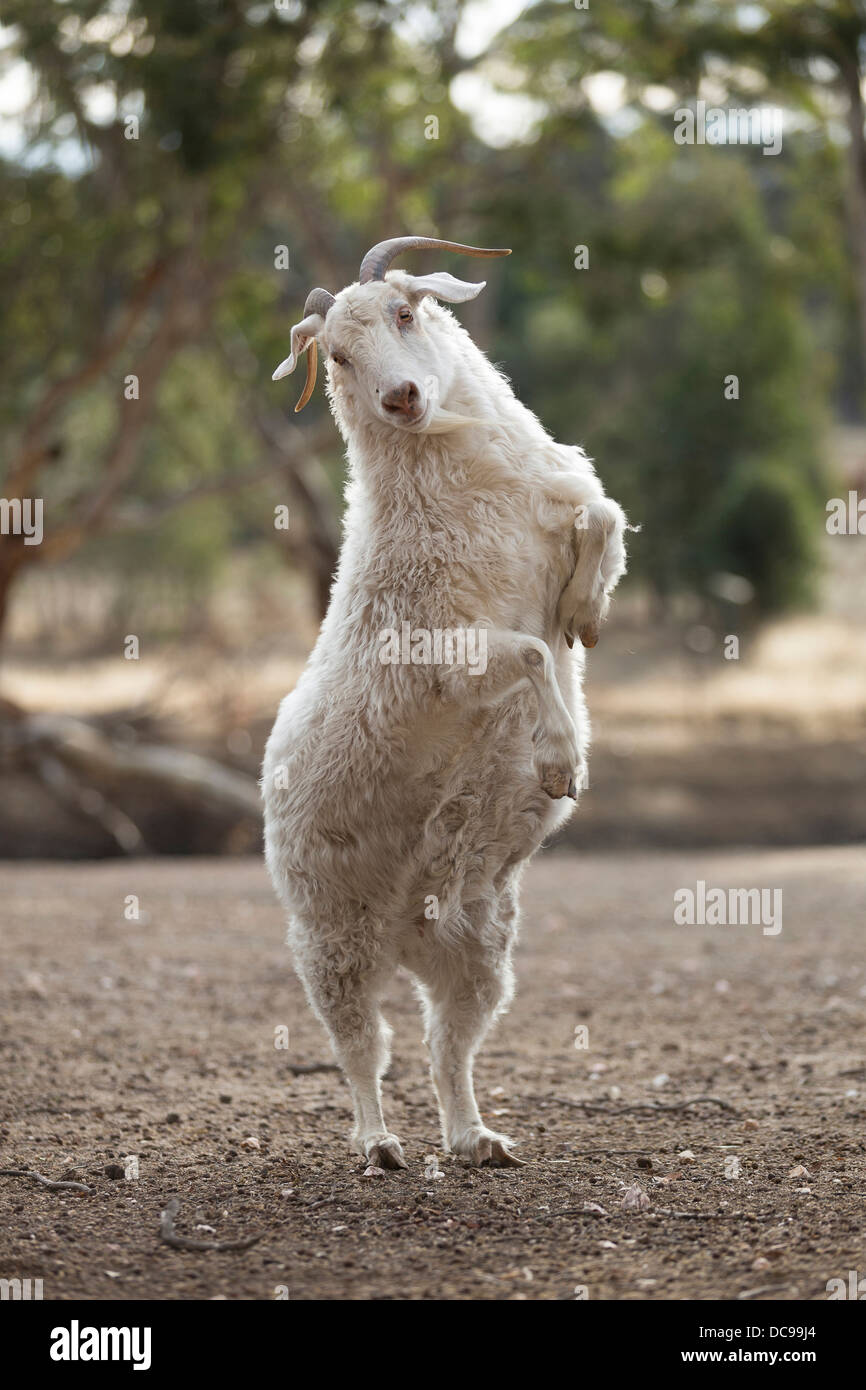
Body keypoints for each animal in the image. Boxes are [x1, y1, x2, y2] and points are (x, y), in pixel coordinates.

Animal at [263, 236, 627, 1169]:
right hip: (328, 937)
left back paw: (473, 1138)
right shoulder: (440, 657)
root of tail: (405, 936)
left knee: (445, 1043)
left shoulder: (563, 502)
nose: (403, 398)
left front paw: (587, 613)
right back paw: (380, 1145)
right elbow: (530, 652)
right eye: (337, 357)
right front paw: (560, 763)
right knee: (363, 1045)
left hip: (479, 945)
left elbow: (604, 517)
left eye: (405, 312)